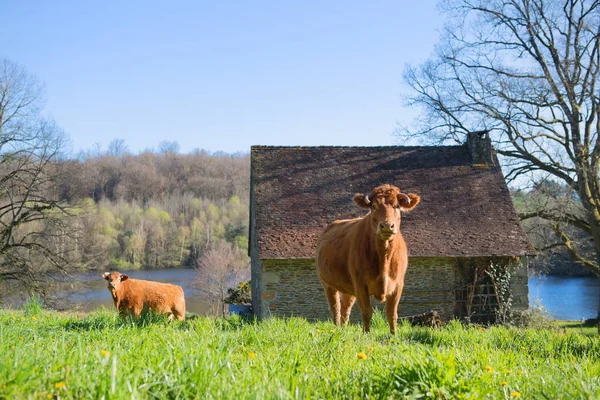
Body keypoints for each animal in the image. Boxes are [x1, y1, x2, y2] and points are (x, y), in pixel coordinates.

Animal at [316, 184, 420, 334]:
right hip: (328, 284)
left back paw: (343, 330)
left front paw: (394, 335)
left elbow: (392, 314)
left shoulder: (398, 284)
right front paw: (366, 334)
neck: (384, 256)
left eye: (397, 206)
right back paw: (337, 330)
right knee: (335, 309)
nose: (387, 225)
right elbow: (366, 312)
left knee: (345, 310)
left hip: (349, 289)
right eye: (374, 206)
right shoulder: (360, 284)